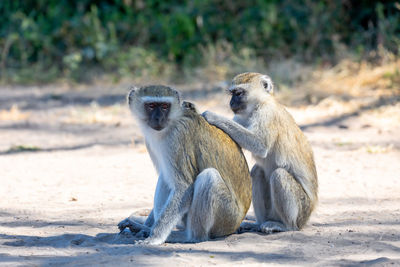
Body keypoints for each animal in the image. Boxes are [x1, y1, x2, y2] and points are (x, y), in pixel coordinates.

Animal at [117, 85, 252, 245]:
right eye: (151, 105)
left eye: (164, 106)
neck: (171, 123)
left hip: (227, 218)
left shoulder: (177, 137)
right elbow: (169, 180)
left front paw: (154, 237)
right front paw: (146, 227)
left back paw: (190, 238)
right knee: (165, 178)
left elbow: (183, 187)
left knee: (209, 177)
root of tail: (238, 222)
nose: (158, 118)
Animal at [203, 72, 318, 233]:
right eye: (232, 93)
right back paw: (258, 223)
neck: (260, 103)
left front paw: (212, 116)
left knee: (279, 175)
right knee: (257, 171)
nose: (231, 103)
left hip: (303, 209)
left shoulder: (266, 114)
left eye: (239, 93)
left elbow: (260, 145)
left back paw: (286, 226)